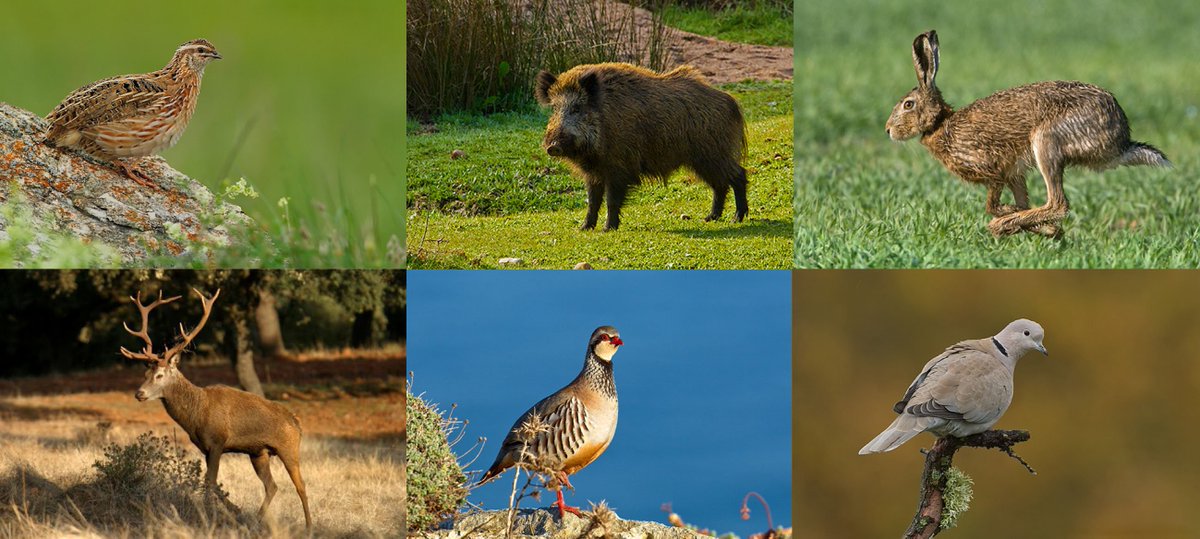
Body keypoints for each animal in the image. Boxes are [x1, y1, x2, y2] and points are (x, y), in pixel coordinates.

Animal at [119, 288, 313, 528]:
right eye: (145, 373)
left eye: (160, 375)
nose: (139, 393)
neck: (196, 416)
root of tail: (297, 422)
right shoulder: (205, 447)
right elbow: (212, 482)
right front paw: (235, 509)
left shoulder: (218, 441)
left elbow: (210, 481)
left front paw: (208, 515)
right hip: (259, 453)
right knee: (272, 485)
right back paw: (256, 518)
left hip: (289, 447)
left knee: (301, 485)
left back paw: (309, 525)